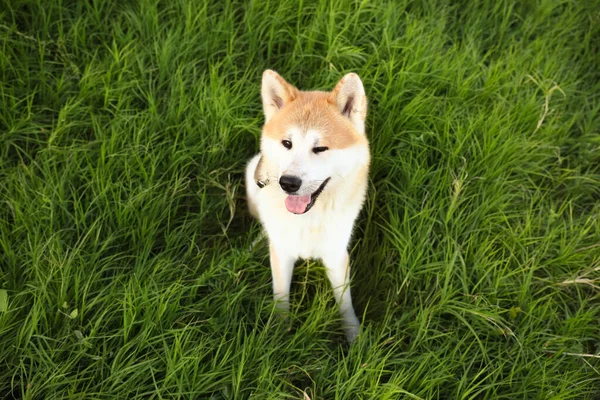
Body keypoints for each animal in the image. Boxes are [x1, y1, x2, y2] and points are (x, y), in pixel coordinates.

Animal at [245, 69, 370, 340]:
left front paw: (354, 338)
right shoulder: (282, 254)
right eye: (287, 144)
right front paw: (279, 334)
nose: (288, 183)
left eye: (320, 148)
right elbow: (281, 298)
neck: (308, 220)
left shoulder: (336, 255)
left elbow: (344, 303)